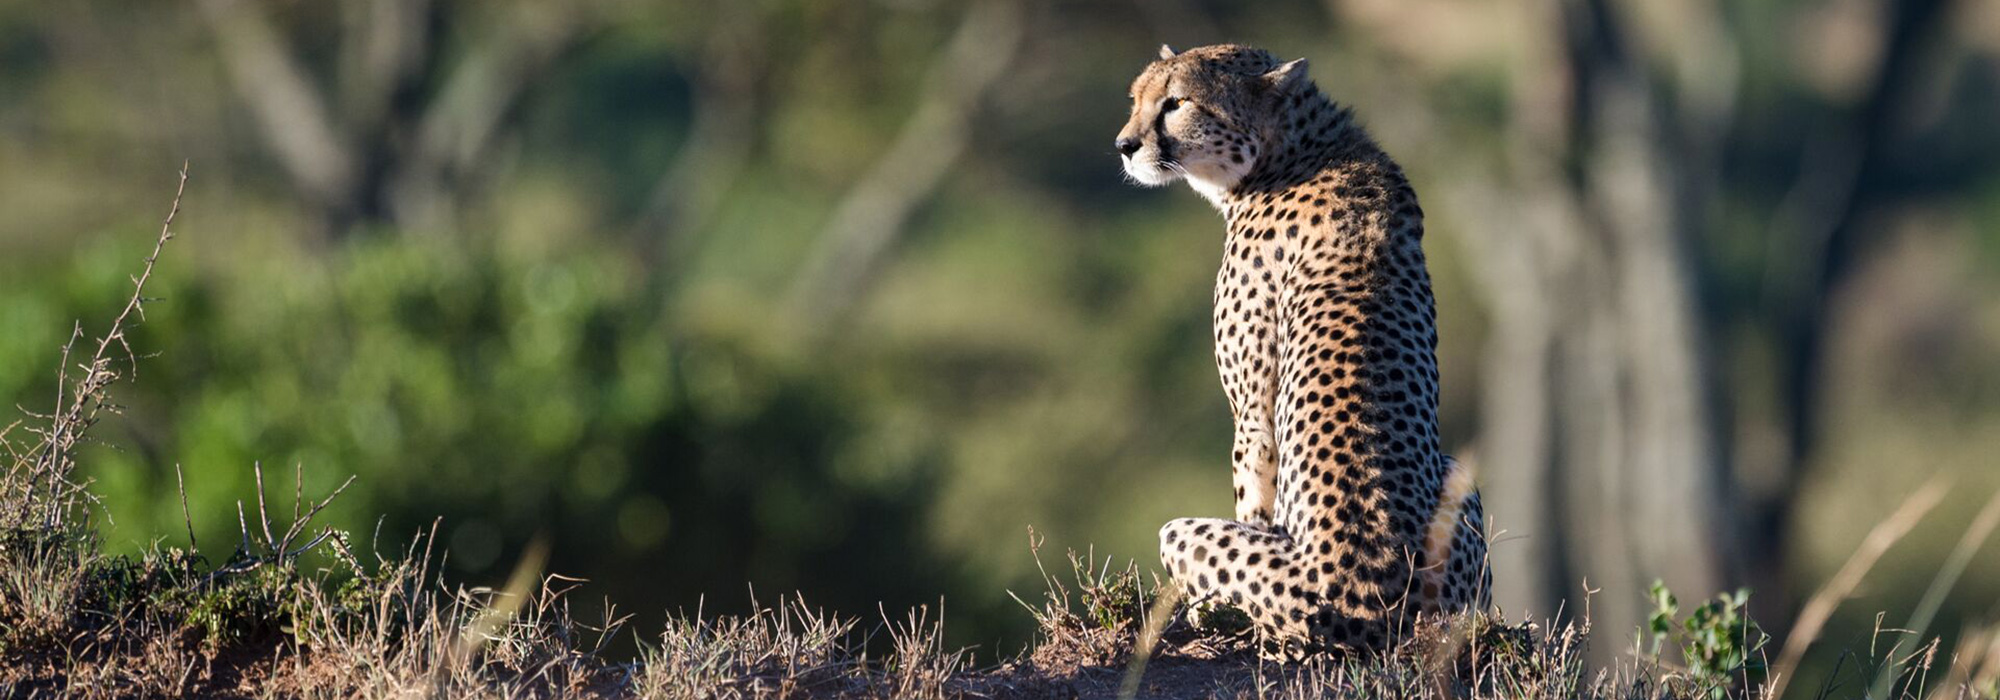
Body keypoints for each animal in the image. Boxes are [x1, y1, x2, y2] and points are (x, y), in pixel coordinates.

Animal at [1120, 42, 1496, 656]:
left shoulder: (1252, 413)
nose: (1124, 146)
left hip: (1192, 539)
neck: (1295, 149)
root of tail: (1378, 599)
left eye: (1176, 103)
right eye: (1136, 99)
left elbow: (1252, 487)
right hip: (1455, 487)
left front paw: (1207, 619)